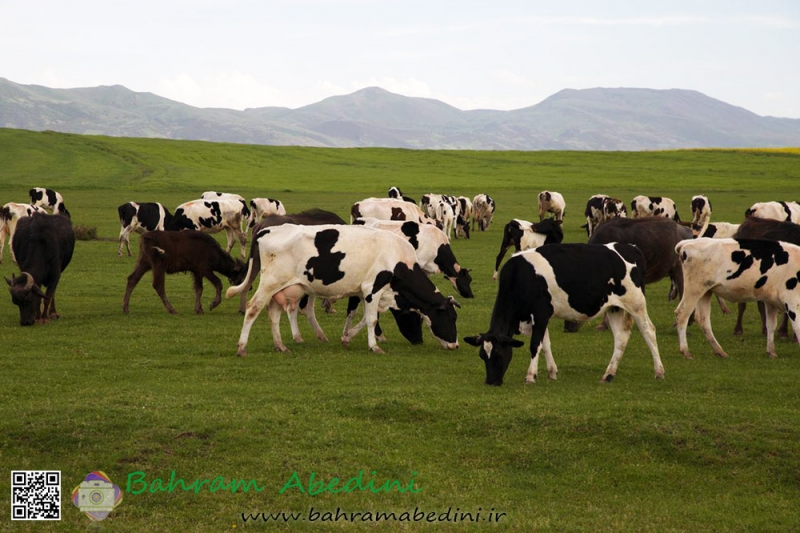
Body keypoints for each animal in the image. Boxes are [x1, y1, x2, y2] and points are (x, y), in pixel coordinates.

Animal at [227, 224, 459, 355]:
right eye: (449, 318)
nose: (456, 345)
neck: (397, 258)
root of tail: (266, 230)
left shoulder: (365, 292)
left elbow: (364, 318)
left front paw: (347, 338)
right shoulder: (372, 288)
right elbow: (372, 319)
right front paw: (374, 347)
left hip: (282, 289)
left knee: (273, 314)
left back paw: (280, 346)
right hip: (270, 282)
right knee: (253, 308)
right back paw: (242, 347)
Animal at [464, 243, 664, 385]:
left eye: (498, 354)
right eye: (482, 356)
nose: (490, 382)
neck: (520, 277)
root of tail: (631, 247)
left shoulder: (540, 314)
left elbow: (535, 345)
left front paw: (530, 376)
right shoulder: (538, 318)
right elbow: (545, 344)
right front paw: (551, 372)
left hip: (636, 304)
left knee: (649, 331)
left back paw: (659, 371)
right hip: (614, 308)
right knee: (621, 338)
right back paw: (608, 375)